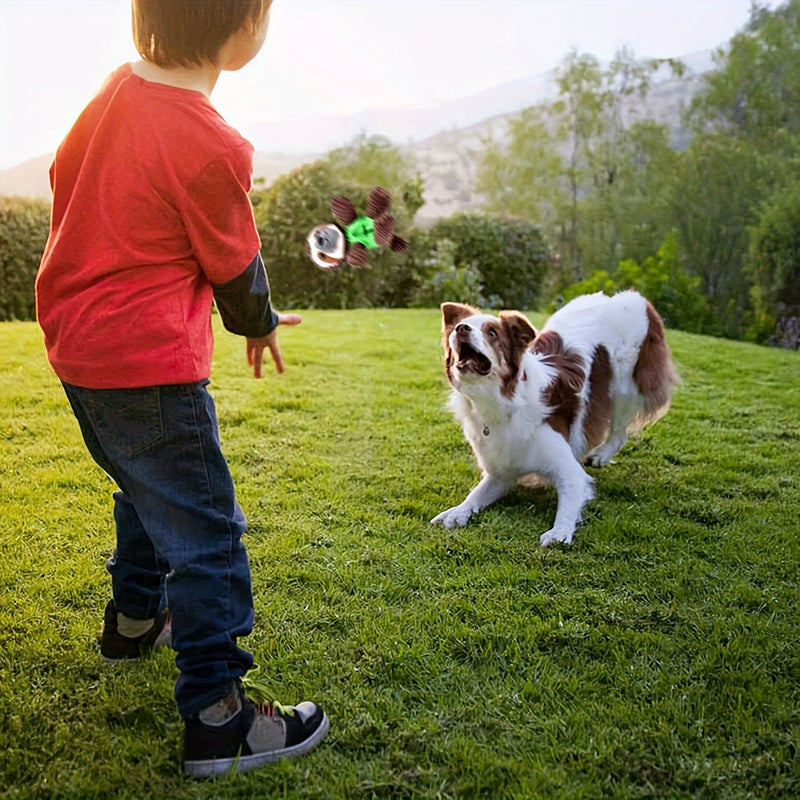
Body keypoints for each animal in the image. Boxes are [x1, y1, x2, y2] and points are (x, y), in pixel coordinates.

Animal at [434, 290, 680, 548]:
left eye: (492, 332)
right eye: (461, 326)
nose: (460, 328)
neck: (503, 403)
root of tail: (631, 296)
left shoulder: (570, 472)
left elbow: (570, 498)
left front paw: (559, 531)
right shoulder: (501, 472)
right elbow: (475, 494)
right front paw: (457, 511)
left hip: (625, 386)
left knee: (621, 430)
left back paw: (601, 455)